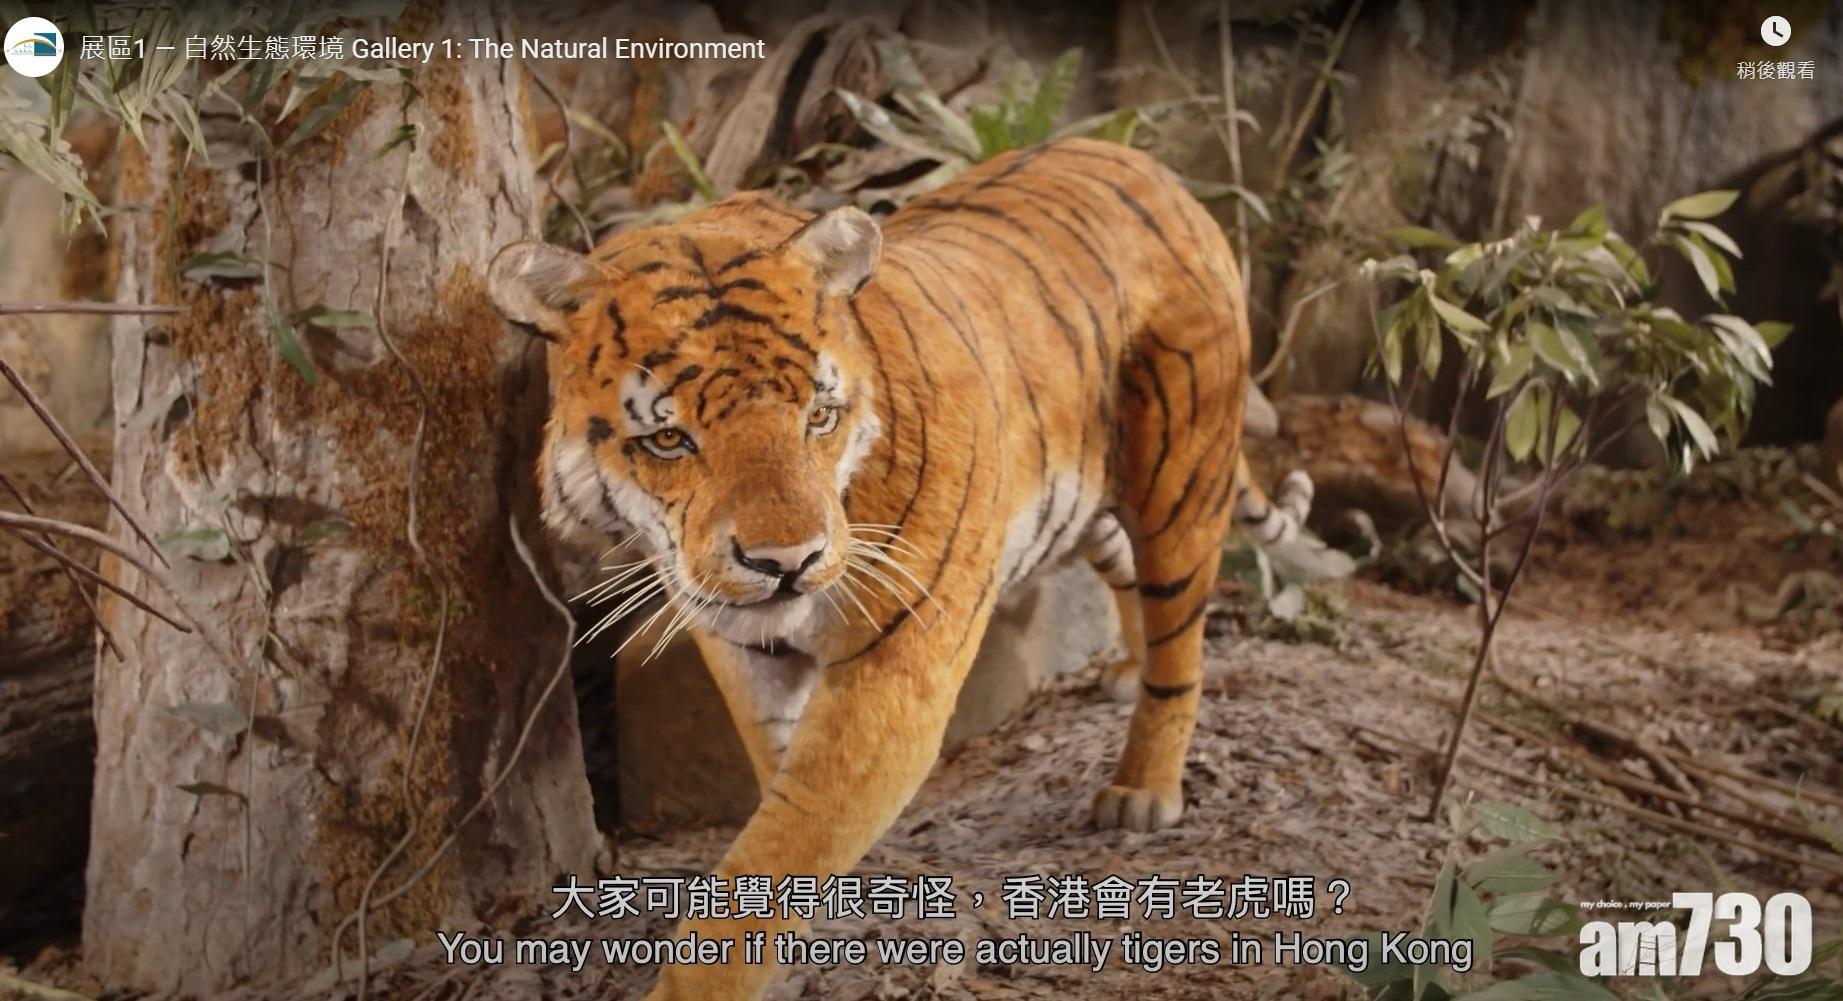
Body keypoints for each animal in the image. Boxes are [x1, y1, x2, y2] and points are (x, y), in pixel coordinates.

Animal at [490, 137, 1268, 1001]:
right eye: (668, 440)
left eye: (817, 416)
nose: (785, 563)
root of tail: (1146, 162)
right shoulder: (741, 645)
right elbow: (781, 788)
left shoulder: (896, 670)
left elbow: (786, 836)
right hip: (1089, 499)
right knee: (1130, 582)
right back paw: (1127, 673)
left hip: (1179, 475)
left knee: (1181, 634)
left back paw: (1144, 788)